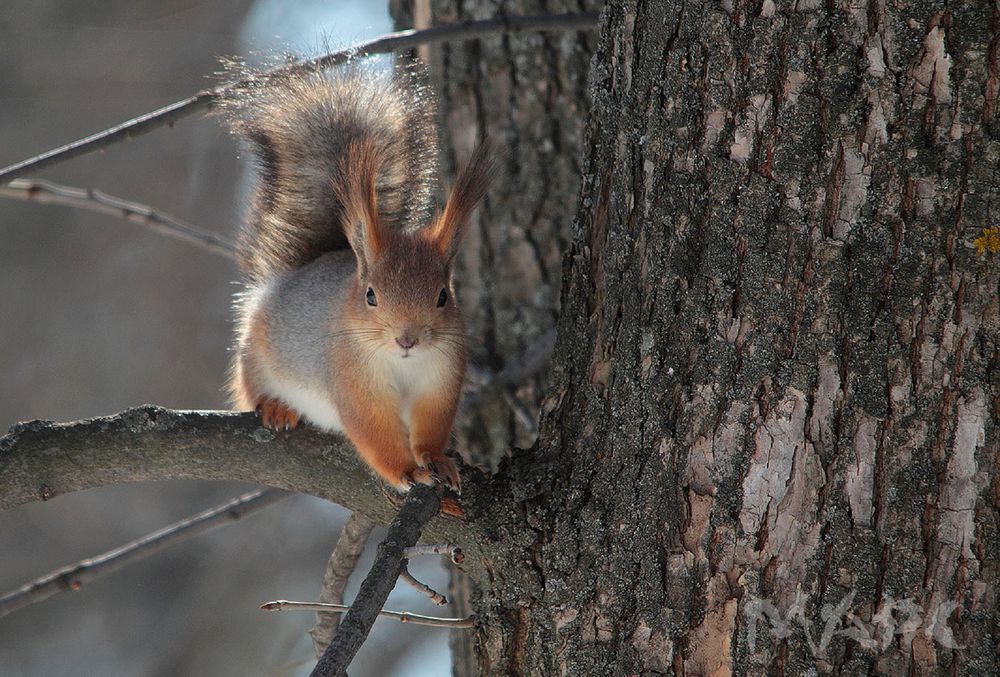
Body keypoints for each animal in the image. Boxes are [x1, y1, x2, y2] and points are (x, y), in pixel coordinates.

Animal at [225, 62, 494, 496]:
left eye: (442, 296)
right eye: (371, 295)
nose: (407, 339)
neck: (401, 365)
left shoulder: (442, 378)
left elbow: (431, 428)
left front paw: (435, 460)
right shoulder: (353, 381)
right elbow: (374, 433)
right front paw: (408, 472)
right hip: (253, 355)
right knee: (250, 388)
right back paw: (277, 406)